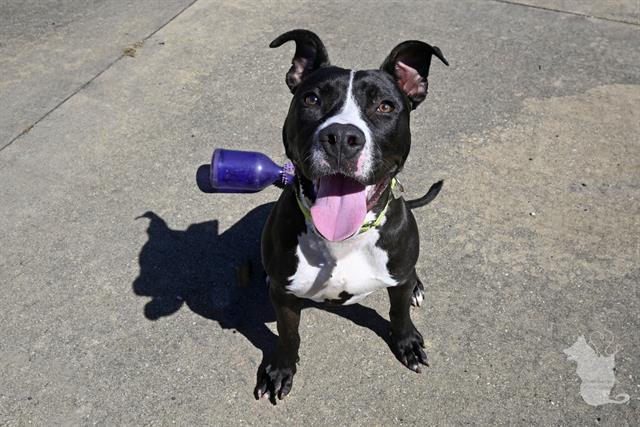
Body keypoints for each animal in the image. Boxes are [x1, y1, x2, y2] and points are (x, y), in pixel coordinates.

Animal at [254, 29, 444, 402]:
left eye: (385, 106)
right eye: (311, 99)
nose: (341, 136)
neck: (343, 241)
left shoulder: (397, 280)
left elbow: (398, 312)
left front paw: (407, 343)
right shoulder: (284, 298)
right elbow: (288, 333)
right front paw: (281, 368)